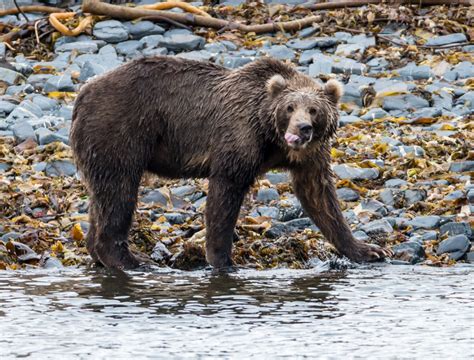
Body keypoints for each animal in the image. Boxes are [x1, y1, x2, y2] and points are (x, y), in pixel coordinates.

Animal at [68, 55, 390, 270]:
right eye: (289, 107)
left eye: (313, 109)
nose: (302, 129)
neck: (270, 136)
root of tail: (82, 94)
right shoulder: (238, 137)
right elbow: (225, 195)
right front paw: (224, 260)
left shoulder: (310, 157)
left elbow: (320, 198)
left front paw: (368, 249)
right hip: (120, 131)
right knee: (119, 192)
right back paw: (132, 259)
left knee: (102, 198)